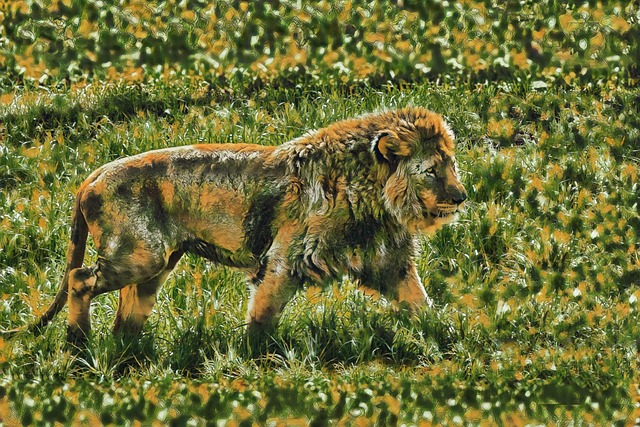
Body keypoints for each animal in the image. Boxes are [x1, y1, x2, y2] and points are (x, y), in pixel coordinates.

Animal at [7, 107, 467, 347]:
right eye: (431, 170)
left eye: (452, 164)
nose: (461, 196)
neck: (377, 203)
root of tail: (93, 175)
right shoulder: (285, 260)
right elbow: (263, 314)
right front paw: (254, 358)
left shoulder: (392, 264)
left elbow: (421, 304)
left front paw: (446, 337)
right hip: (139, 255)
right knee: (79, 278)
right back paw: (78, 344)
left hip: (154, 266)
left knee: (125, 314)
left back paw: (126, 353)